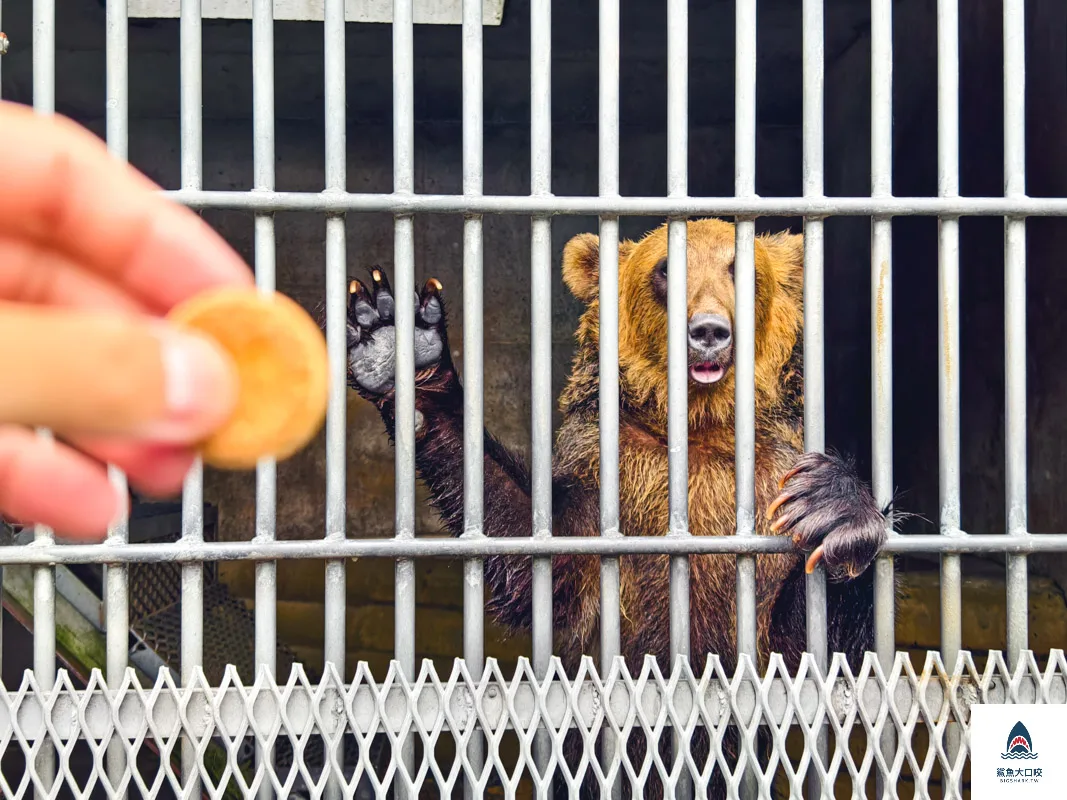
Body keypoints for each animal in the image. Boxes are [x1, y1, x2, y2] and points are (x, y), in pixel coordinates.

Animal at [343, 217, 890, 798]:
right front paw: (396, 345)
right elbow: (537, 556)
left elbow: (813, 641)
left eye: (741, 267)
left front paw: (836, 511)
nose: (709, 329)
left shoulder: (769, 484)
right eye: (666, 268)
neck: (698, 430)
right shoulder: (609, 473)